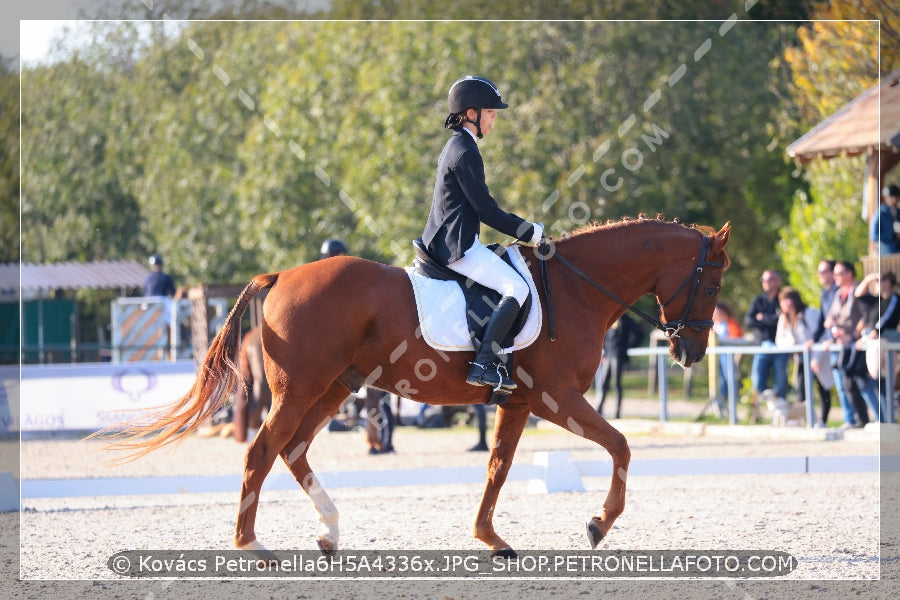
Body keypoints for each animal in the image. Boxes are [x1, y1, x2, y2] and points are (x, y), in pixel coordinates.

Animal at [109, 219, 736, 556]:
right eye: (712, 284)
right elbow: (621, 445)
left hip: (333, 389)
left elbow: (498, 467)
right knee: (262, 452)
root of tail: (282, 274)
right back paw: (253, 545)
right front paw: (598, 524)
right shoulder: (558, 398)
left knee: (293, 450)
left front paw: (489, 538)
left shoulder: (519, 402)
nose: (689, 353)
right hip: (300, 389)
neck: (576, 289)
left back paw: (330, 533)